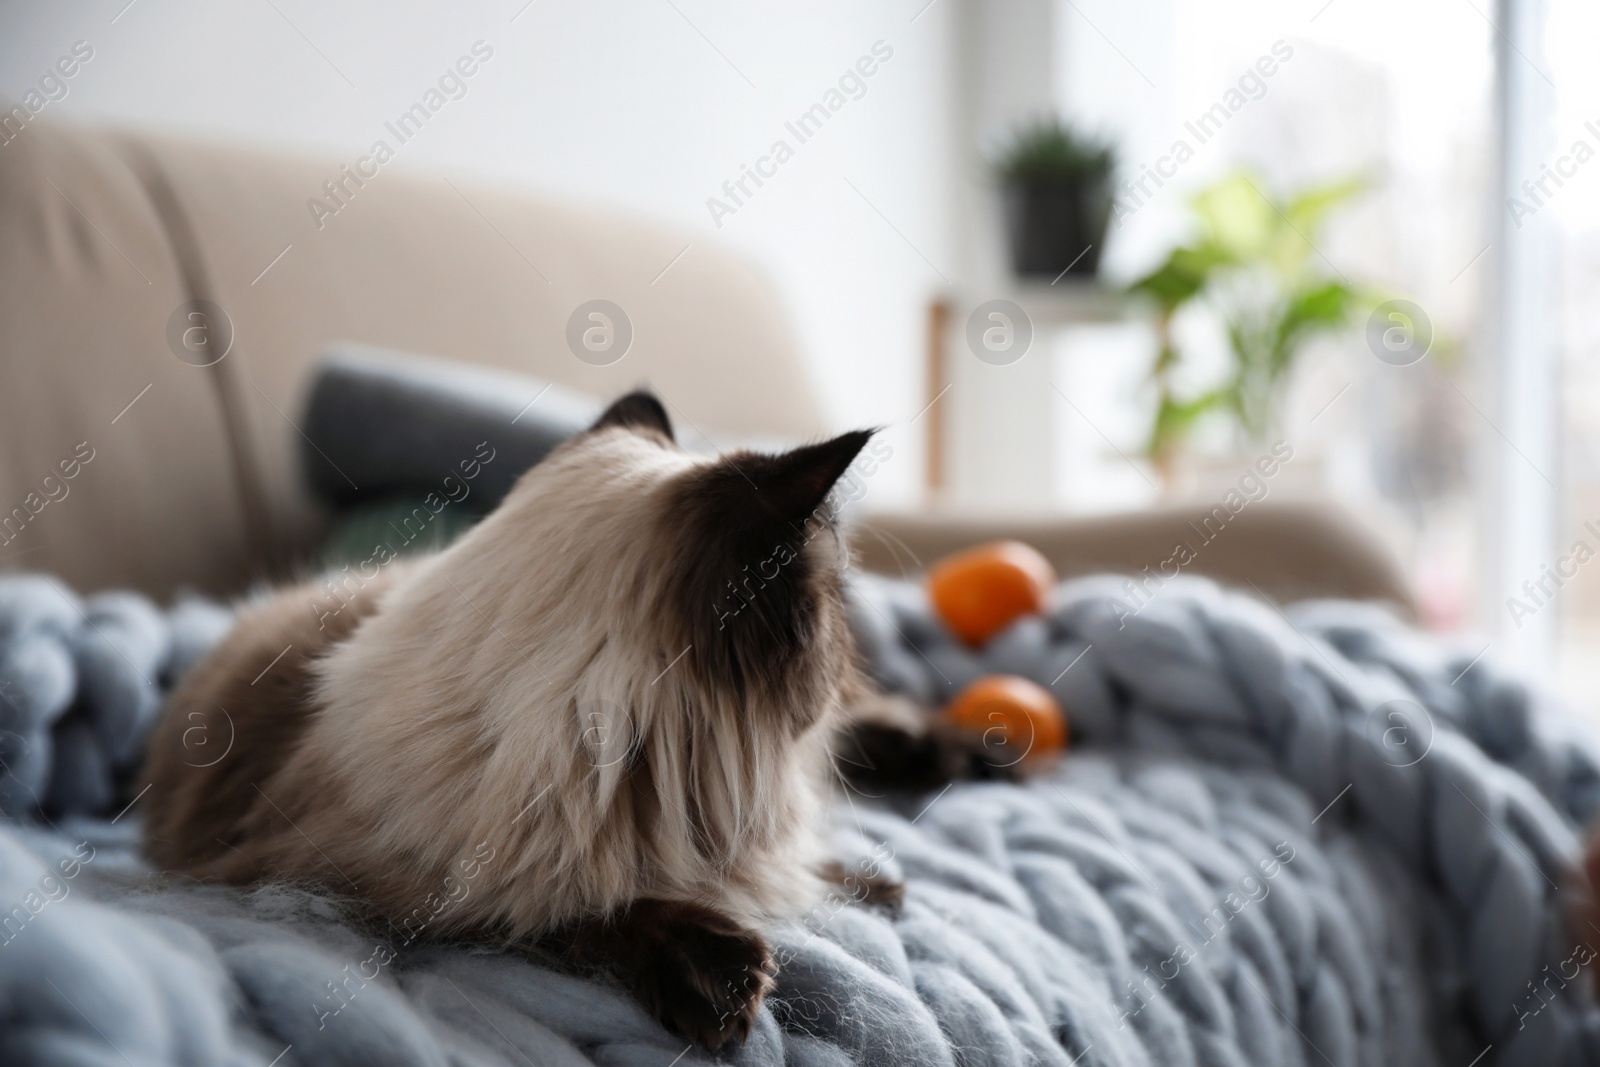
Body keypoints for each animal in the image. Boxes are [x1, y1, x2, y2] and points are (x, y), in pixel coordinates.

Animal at [140, 388, 998, 1049]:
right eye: (832, 612)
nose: (849, 662)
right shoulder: (365, 885)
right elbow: (570, 910)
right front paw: (720, 982)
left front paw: (878, 888)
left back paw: (965, 751)